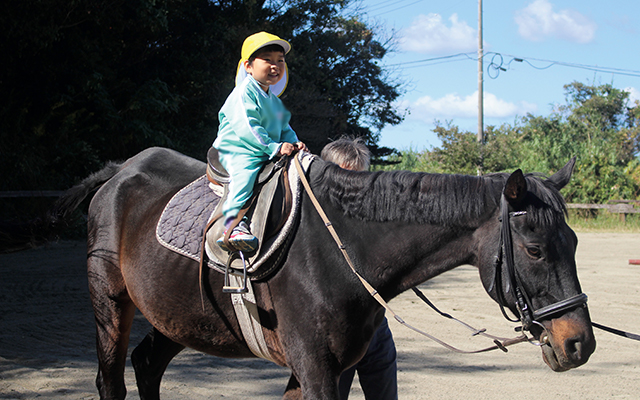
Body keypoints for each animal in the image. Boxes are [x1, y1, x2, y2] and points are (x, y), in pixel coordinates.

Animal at [53, 148, 596, 400]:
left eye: (573, 244)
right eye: (534, 250)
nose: (579, 343)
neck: (341, 252)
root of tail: (120, 172)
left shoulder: (332, 368)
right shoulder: (315, 368)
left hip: (179, 317)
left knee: (147, 364)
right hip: (111, 305)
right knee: (111, 379)